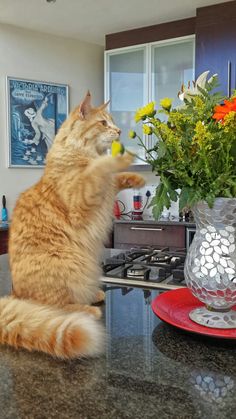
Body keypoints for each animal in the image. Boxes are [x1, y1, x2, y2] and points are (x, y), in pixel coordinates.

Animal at [0, 93, 145, 360]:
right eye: (103, 123)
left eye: (113, 122)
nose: (119, 131)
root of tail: (15, 293)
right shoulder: (84, 199)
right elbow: (101, 170)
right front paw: (122, 157)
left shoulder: (105, 191)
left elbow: (114, 178)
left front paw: (136, 178)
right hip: (68, 261)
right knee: (55, 307)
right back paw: (88, 310)